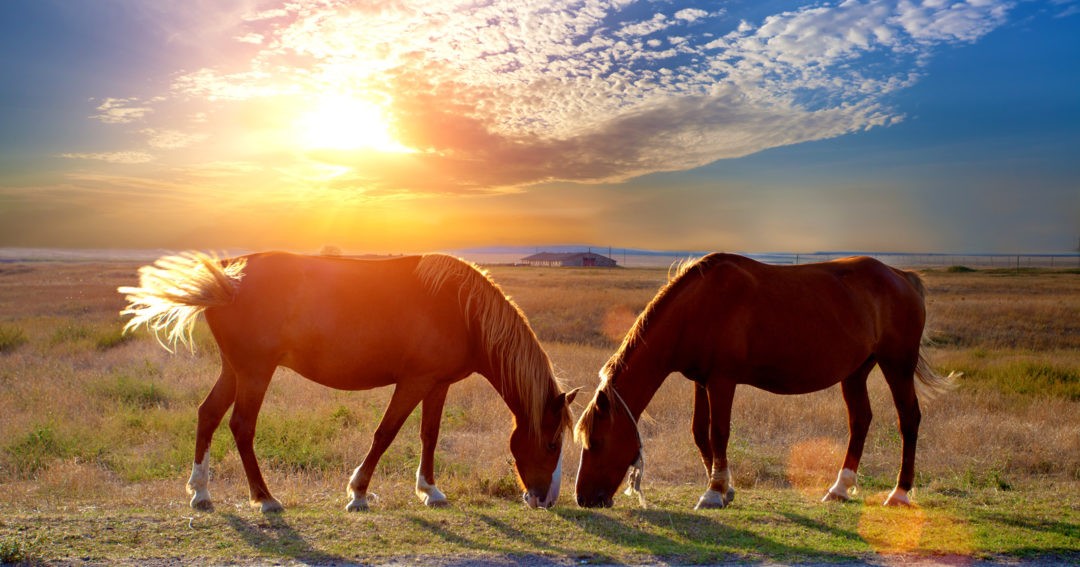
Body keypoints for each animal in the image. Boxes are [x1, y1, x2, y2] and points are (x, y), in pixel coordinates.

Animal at [119, 251, 578, 512]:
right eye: (551, 443)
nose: (547, 499)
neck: (461, 309)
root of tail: (229, 278)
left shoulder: (438, 384)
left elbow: (429, 435)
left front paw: (429, 491)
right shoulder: (414, 382)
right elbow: (386, 433)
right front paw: (358, 492)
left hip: (234, 370)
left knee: (209, 415)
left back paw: (201, 493)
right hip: (255, 372)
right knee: (241, 426)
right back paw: (264, 498)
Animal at [574, 253, 957, 509]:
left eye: (598, 441)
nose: (583, 498)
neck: (698, 307)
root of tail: (901, 276)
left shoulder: (722, 381)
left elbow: (718, 432)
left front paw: (714, 491)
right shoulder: (701, 380)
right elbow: (699, 432)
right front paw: (724, 488)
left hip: (897, 365)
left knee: (908, 420)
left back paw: (900, 493)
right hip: (857, 371)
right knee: (860, 420)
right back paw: (839, 488)